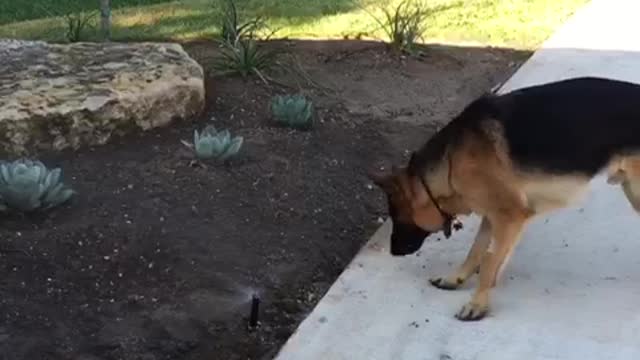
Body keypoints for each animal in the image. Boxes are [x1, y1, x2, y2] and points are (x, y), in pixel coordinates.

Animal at [370, 76, 640, 320]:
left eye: (396, 216)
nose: (393, 251)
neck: (450, 160)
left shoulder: (510, 216)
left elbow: (489, 263)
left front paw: (477, 304)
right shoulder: (492, 215)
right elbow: (476, 251)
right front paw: (455, 278)